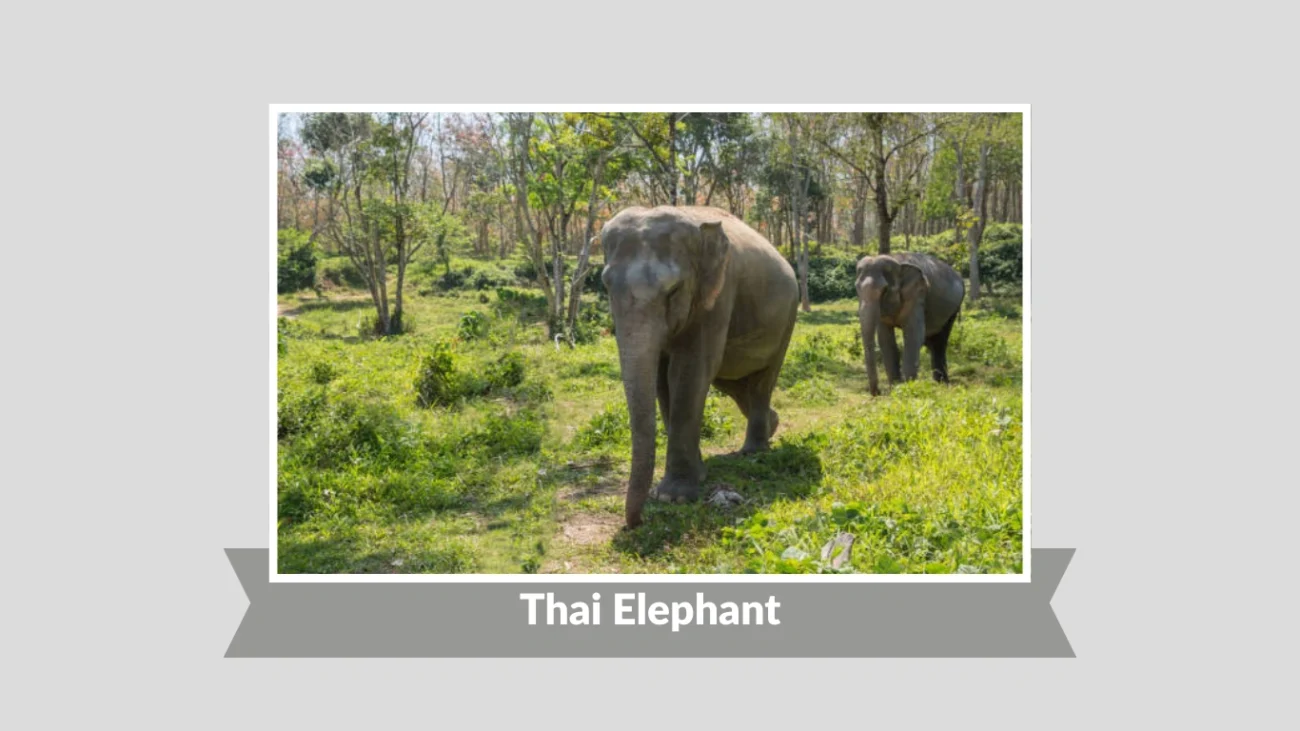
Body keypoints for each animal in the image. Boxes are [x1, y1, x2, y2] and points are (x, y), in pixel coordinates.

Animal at [600, 206, 800, 528]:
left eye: (673, 290)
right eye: (606, 285)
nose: (636, 522)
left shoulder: (718, 295)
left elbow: (690, 370)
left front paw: (674, 497)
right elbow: (662, 378)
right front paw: (692, 477)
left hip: (787, 320)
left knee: (761, 381)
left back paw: (753, 452)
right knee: (732, 382)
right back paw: (773, 424)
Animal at [854, 252, 966, 396]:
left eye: (885, 289)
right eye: (856, 288)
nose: (878, 392)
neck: (897, 261)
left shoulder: (917, 296)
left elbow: (913, 335)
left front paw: (907, 388)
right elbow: (885, 339)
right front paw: (895, 387)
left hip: (954, 308)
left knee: (940, 341)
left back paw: (942, 384)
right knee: (931, 341)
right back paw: (939, 383)